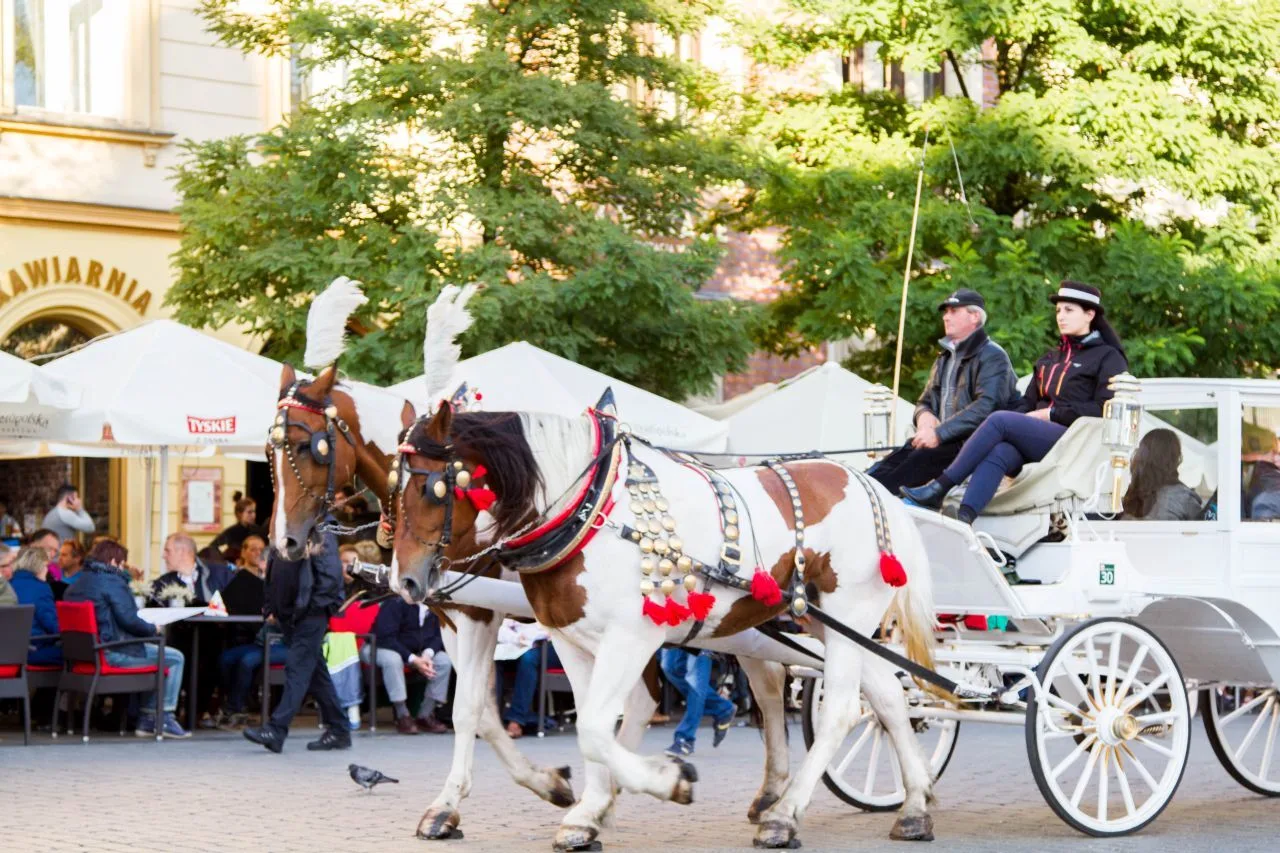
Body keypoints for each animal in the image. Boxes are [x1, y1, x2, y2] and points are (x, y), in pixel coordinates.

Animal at [390, 401, 940, 849]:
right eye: (392, 491)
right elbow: (583, 725)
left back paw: (784, 815)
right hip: (828, 623)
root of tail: (873, 486)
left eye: (434, 488)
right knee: (887, 697)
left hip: (848, 614)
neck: (591, 510)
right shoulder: (570, 639)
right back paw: (914, 806)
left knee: (841, 711)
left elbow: (593, 725)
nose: (407, 582)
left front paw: (663, 782)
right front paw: (588, 811)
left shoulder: (631, 635)